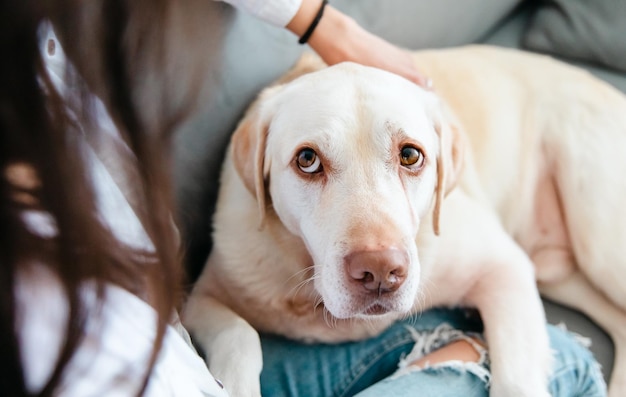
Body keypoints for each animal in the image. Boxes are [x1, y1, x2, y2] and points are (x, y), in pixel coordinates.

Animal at [182, 45, 624, 396]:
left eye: (410, 155)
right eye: (307, 160)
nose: (380, 271)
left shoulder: (506, 269)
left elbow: (516, 378)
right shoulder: (201, 297)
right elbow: (240, 336)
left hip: (599, 246)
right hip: (560, 271)